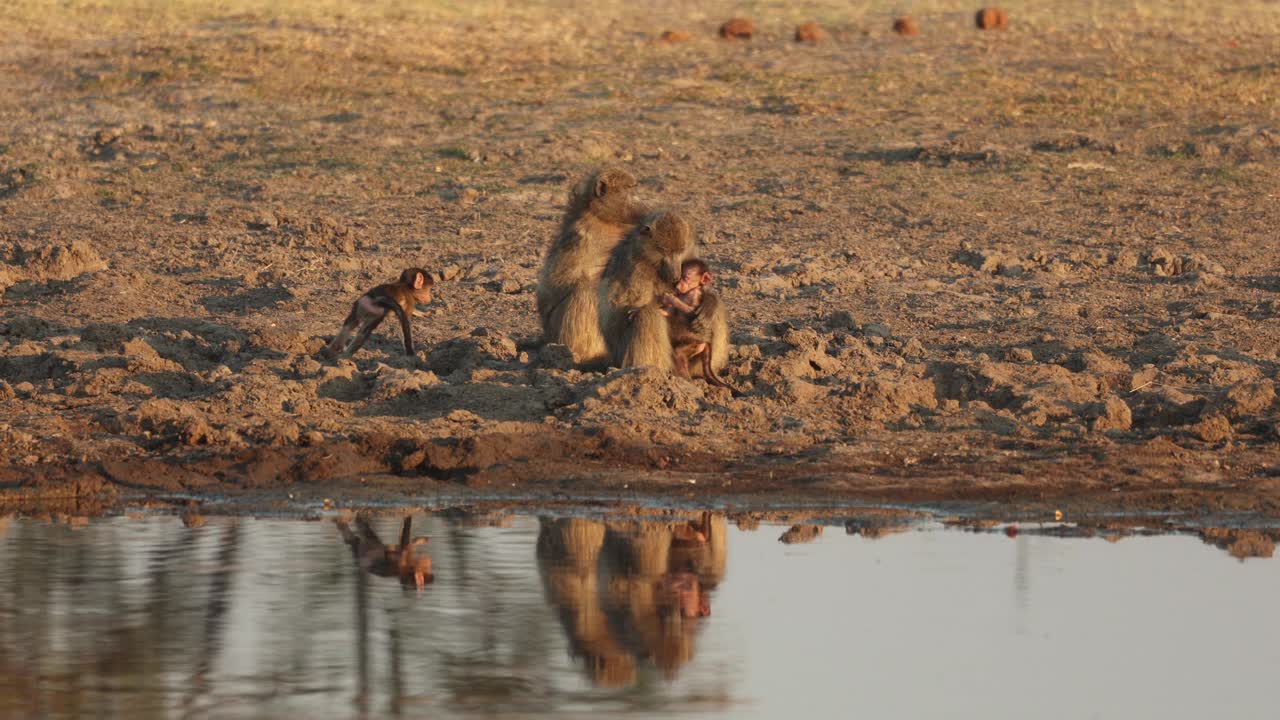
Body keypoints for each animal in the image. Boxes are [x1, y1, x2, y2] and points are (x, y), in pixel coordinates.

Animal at [536, 168, 649, 367]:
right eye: (630, 189)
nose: (644, 205)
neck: (603, 218)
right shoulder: (587, 237)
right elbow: (556, 285)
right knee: (586, 290)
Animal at [598, 210, 694, 372]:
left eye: (680, 250)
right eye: (664, 250)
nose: (675, 276)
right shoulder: (639, 268)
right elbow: (630, 303)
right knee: (647, 314)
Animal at [659, 259, 740, 395]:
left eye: (685, 278)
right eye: (680, 277)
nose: (678, 285)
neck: (691, 290)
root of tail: (706, 343)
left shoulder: (695, 295)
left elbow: (692, 314)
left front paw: (670, 299)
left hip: (694, 343)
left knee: (678, 354)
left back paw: (686, 382)